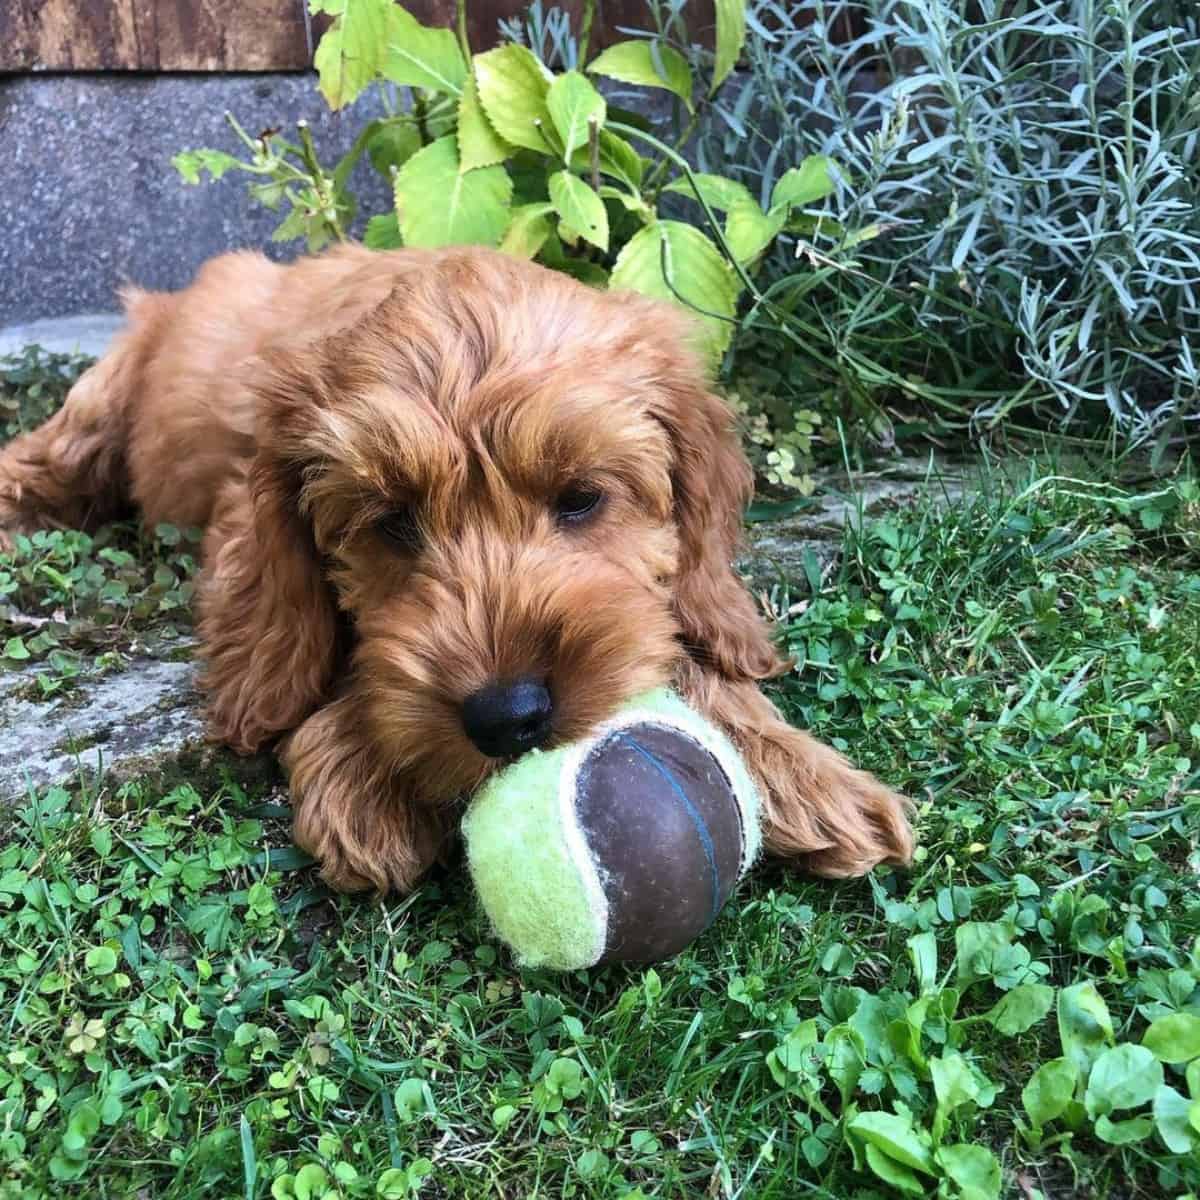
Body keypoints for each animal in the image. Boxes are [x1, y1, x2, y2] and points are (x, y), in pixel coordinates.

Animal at [0, 246, 907, 892]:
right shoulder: (240, 520)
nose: (508, 717)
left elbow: (668, 628)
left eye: (581, 499)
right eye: (393, 522)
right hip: (102, 395)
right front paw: (360, 773)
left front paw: (801, 770)